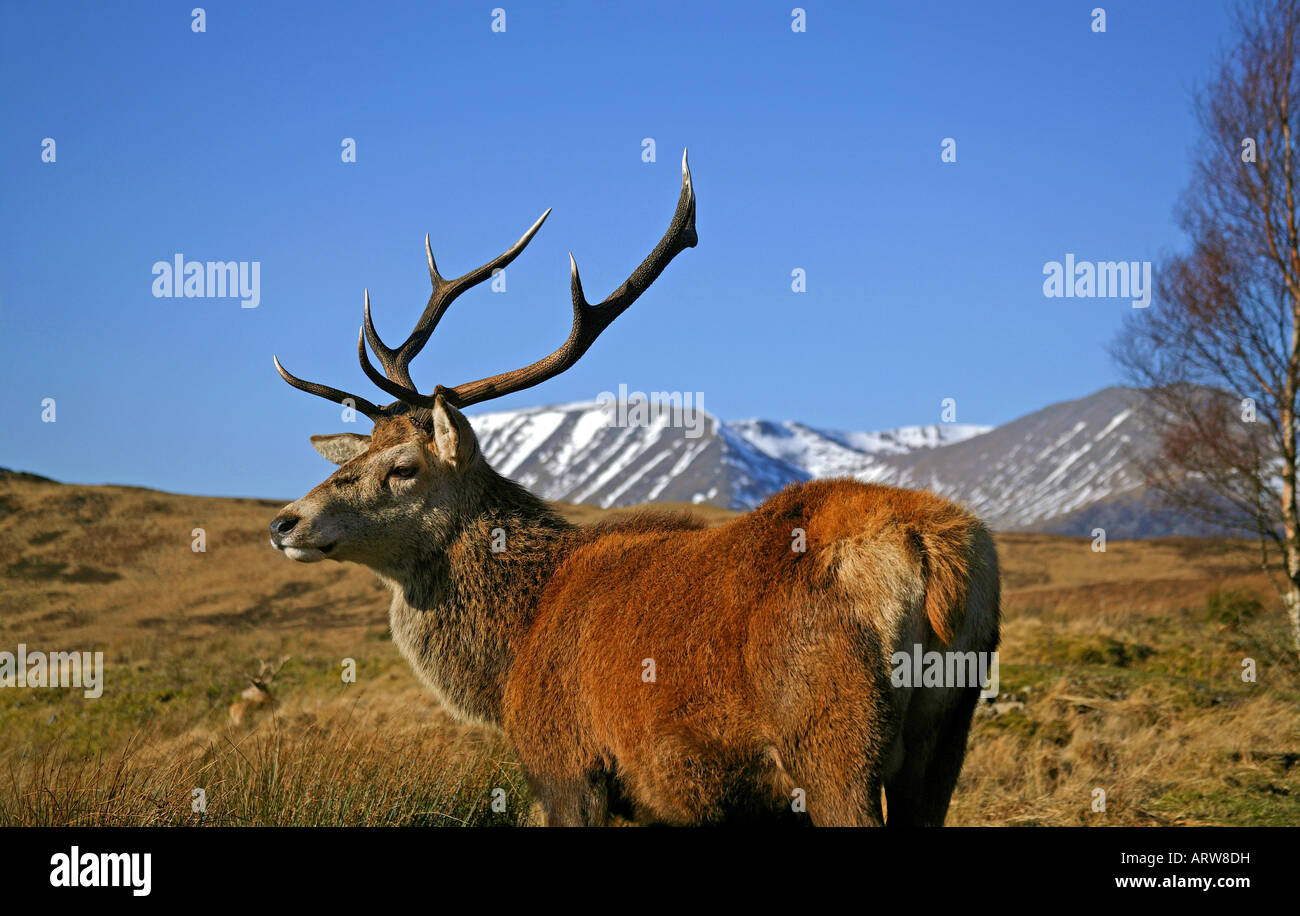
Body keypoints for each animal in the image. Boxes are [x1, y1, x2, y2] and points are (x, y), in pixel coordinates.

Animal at [261, 153, 993, 826]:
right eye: (362, 453)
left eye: (404, 467)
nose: (284, 522)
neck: (510, 654)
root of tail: (926, 549)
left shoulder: (567, 763)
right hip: (946, 736)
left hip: (832, 737)